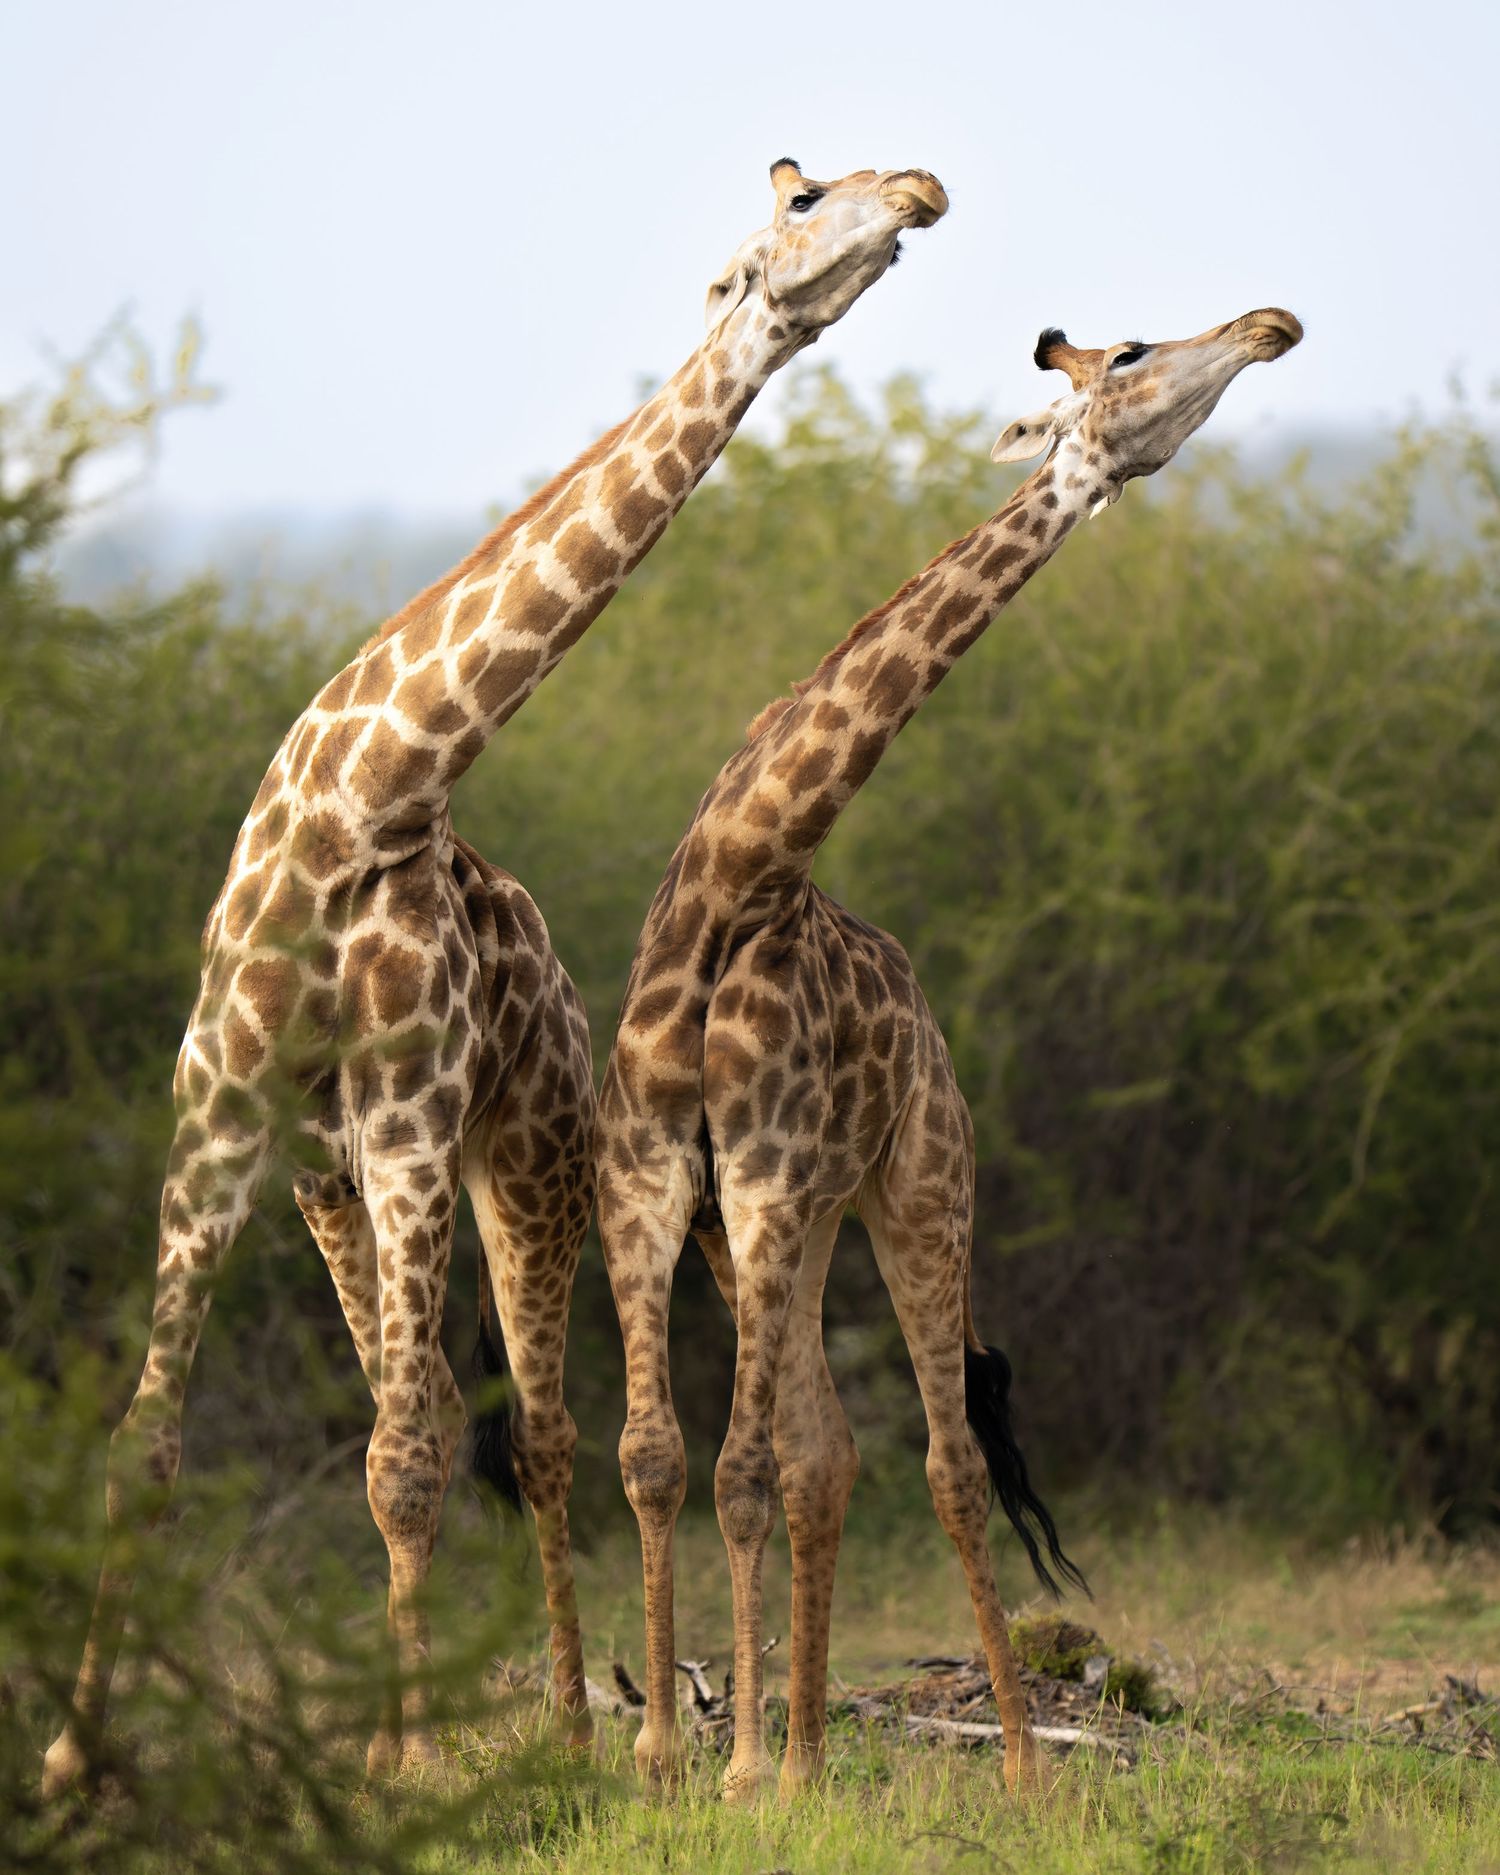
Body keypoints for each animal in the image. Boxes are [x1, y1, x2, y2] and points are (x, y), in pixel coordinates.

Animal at [41, 156, 949, 1801]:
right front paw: (75, 1758)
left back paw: (578, 1728)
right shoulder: (220, 1125)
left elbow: (412, 1462)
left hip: (525, 1160)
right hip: (333, 1187)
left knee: (529, 1432)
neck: (358, 799)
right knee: (431, 1418)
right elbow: (149, 1453)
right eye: (802, 206)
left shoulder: (414, 1122)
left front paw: (407, 1770)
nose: (917, 188)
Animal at [596, 306, 1304, 1802]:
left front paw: (734, 1768)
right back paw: (809, 1751)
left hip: (915, 1188)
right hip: (797, 1226)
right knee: (830, 1448)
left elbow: (741, 1469)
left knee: (939, 1462)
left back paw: (1015, 1760)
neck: (737, 877)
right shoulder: (656, 1190)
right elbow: (659, 1456)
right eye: (1135, 350)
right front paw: (665, 1750)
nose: (1272, 325)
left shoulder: (763, 1184)